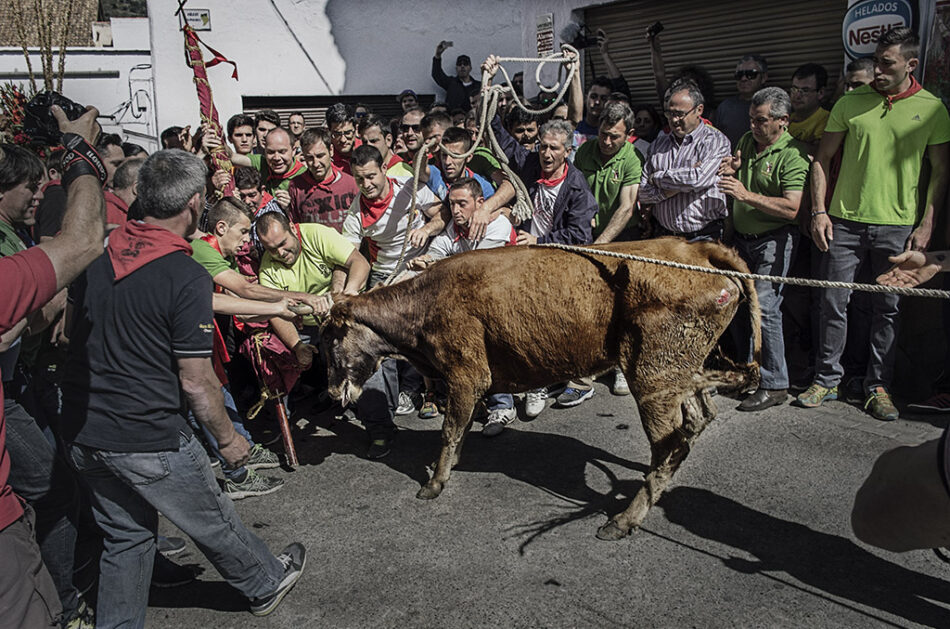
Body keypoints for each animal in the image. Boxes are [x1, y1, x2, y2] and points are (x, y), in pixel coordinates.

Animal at [324, 238, 764, 536]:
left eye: (330, 339)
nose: (329, 394)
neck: (424, 304)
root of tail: (697, 249)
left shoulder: (466, 374)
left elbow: (449, 431)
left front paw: (434, 483)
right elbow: (460, 431)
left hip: (652, 377)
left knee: (672, 445)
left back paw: (623, 520)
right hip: (682, 366)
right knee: (700, 415)